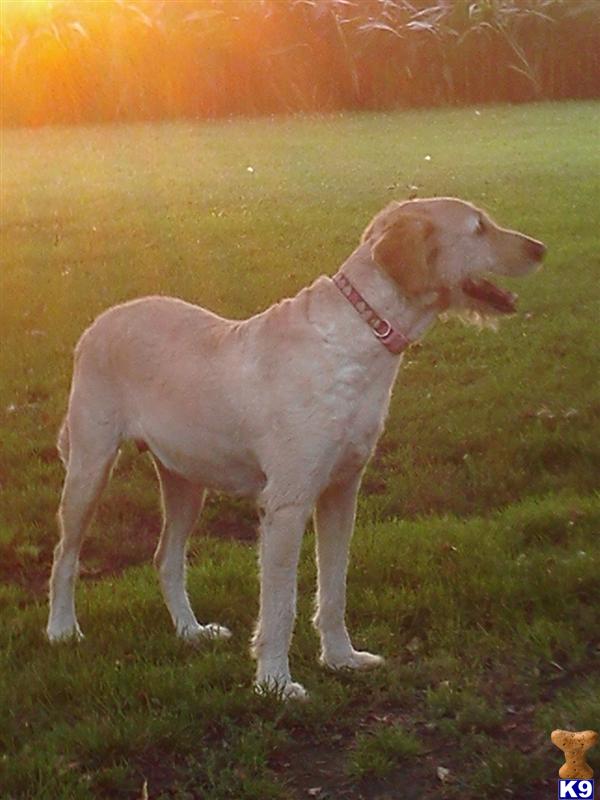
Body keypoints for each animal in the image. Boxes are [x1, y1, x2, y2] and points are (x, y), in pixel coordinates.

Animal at [47, 197, 544, 696]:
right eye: (478, 229)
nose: (540, 249)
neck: (360, 334)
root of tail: (100, 322)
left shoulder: (342, 492)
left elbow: (335, 587)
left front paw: (342, 659)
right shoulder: (287, 504)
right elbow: (280, 604)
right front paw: (275, 684)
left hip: (186, 479)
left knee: (166, 558)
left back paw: (191, 632)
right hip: (90, 467)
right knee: (65, 554)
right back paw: (62, 630)